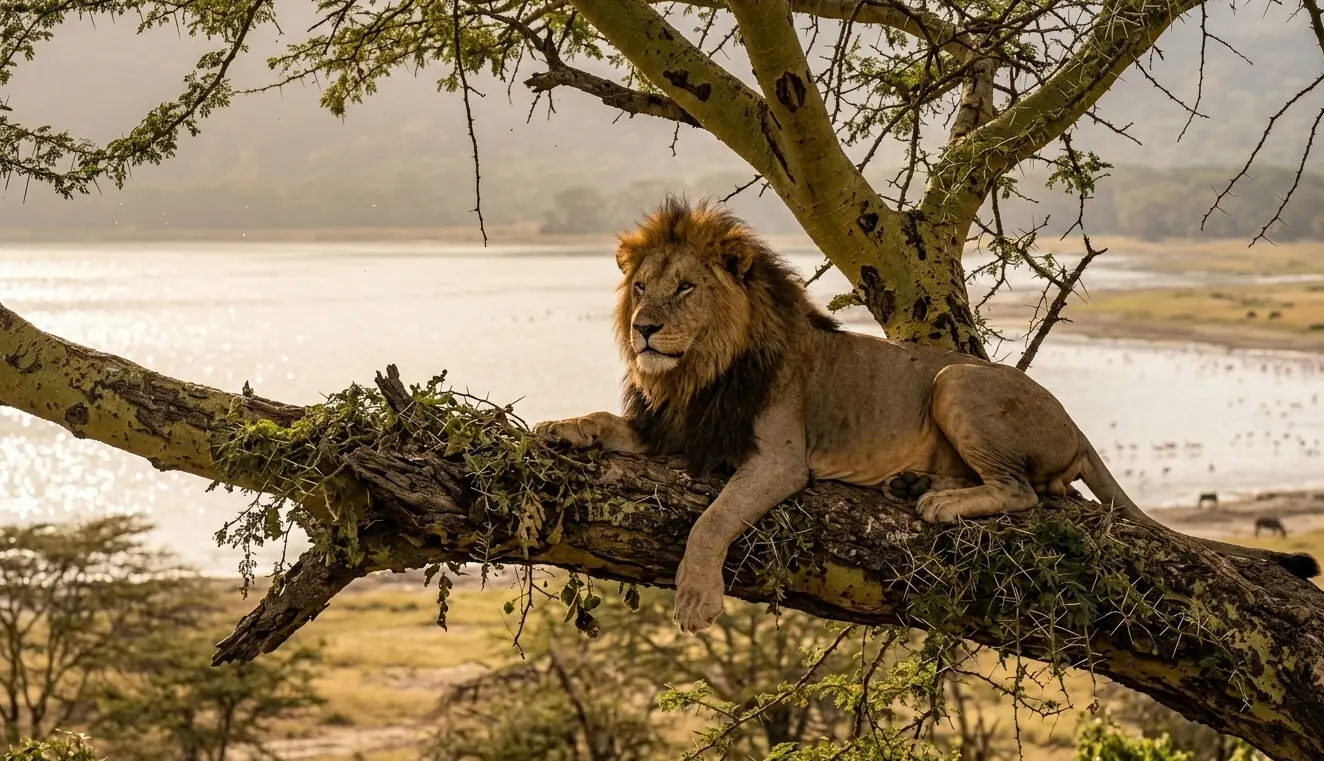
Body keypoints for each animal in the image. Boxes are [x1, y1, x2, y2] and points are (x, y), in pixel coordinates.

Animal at [533, 197, 1321, 633]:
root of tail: (1074, 423)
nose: (644, 329)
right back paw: (918, 485)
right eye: (642, 288)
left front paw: (696, 597)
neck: (698, 374)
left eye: (686, 289)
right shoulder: (672, 427)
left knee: (1025, 491)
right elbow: (605, 418)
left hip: (953, 380)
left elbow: (714, 516)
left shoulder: (779, 458)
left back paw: (939, 500)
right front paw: (560, 427)